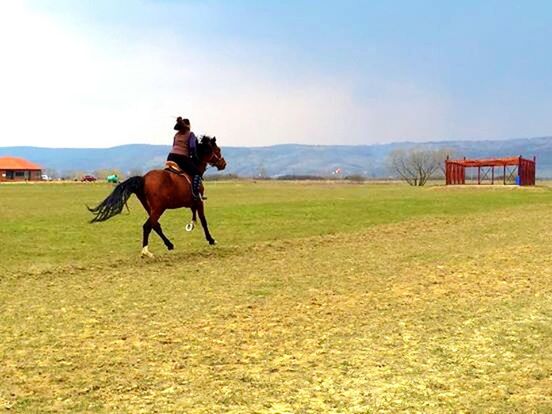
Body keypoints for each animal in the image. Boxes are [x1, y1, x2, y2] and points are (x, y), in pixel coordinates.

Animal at [87, 136, 225, 258]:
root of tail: (143, 179)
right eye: (218, 149)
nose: (223, 163)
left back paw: (169, 244)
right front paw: (211, 240)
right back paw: (146, 251)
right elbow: (203, 221)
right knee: (148, 226)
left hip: (151, 208)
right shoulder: (199, 202)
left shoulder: (192, 204)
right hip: (159, 208)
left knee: (155, 225)